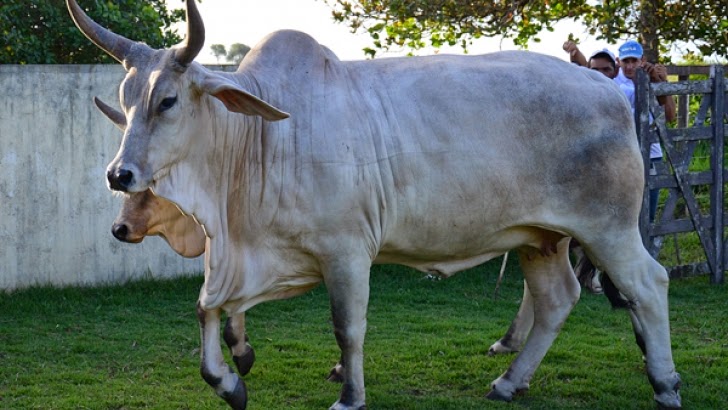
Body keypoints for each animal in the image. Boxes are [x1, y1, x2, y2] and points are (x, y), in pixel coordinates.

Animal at [68, 1, 684, 408]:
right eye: (125, 99)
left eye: (168, 100)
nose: (119, 174)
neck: (260, 142)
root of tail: (607, 91)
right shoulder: (262, 256)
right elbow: (210, 309)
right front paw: (232, 376)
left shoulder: (345, 254)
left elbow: (348, 328)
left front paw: (349, 394)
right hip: (540, 237)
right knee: (556, 300)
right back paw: (510, 381)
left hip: (608, 229)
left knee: (648, 284)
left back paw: (665, 383)